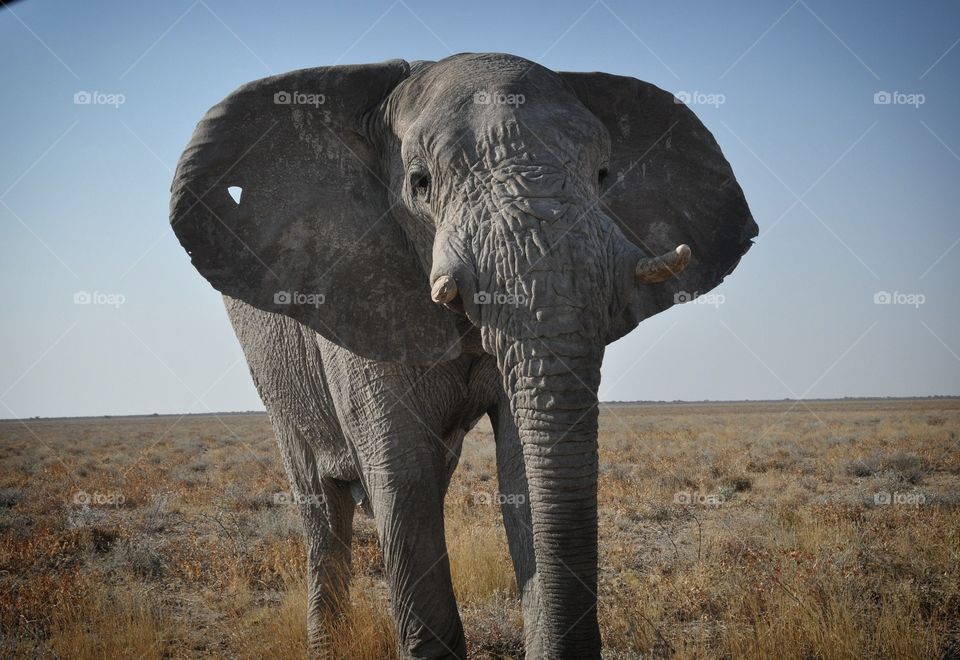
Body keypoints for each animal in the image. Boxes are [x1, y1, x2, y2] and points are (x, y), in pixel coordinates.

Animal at [169, 52, 756, 658]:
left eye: (603, 175)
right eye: (420, 182)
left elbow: (522, 467)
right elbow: (402, 476)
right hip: (274, 373)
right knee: (322, 506)